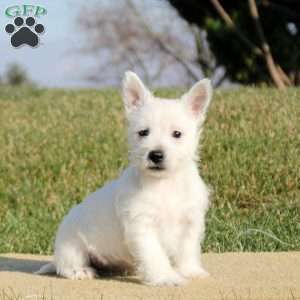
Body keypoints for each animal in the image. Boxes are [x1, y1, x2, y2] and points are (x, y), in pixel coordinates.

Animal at [36, 71, 212, 286]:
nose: (156, 155)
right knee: (66, 265)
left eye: (177, 134)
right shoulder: (142, 226)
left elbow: (187, 250)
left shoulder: (190, 222)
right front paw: (165, 277)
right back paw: (81, 271)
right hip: (71, 244)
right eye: (143, 132)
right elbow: (155, 255)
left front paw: (190, 271)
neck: (164, 183)